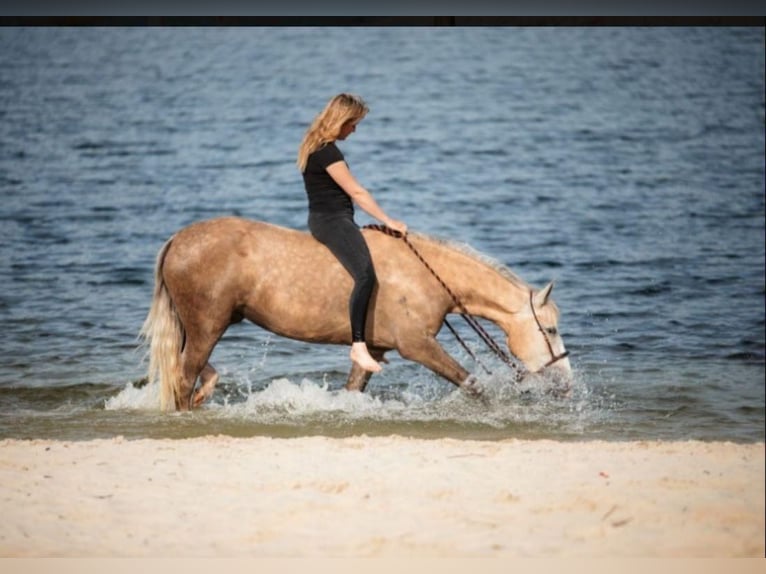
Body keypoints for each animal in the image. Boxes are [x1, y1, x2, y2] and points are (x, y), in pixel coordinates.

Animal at [140, 217, 571, 411]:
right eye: (549, 330)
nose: (566, 382)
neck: (421, 275)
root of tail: (177, 240)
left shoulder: (375, 350)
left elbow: (352, 390)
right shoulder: (417, 345)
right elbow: (472, 384)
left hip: (198, 328)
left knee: (190, 374)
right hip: (206, 327)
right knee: (183, 378)